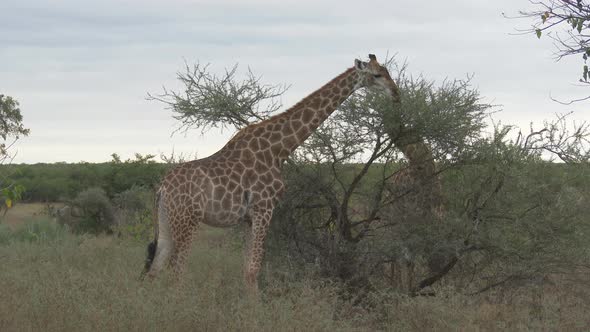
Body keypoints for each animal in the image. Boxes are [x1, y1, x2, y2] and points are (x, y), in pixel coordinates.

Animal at [143, 53, 402, 292]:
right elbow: (253, 271)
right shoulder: (264, 209)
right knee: (176, 271)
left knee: (154, 269)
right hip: (188, 221)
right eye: (377, 75)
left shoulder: (248, 218)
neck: (280, 149)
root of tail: (162, 188)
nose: (396, 93)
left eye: (387, 71)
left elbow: (246, 269)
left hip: (167, 221)